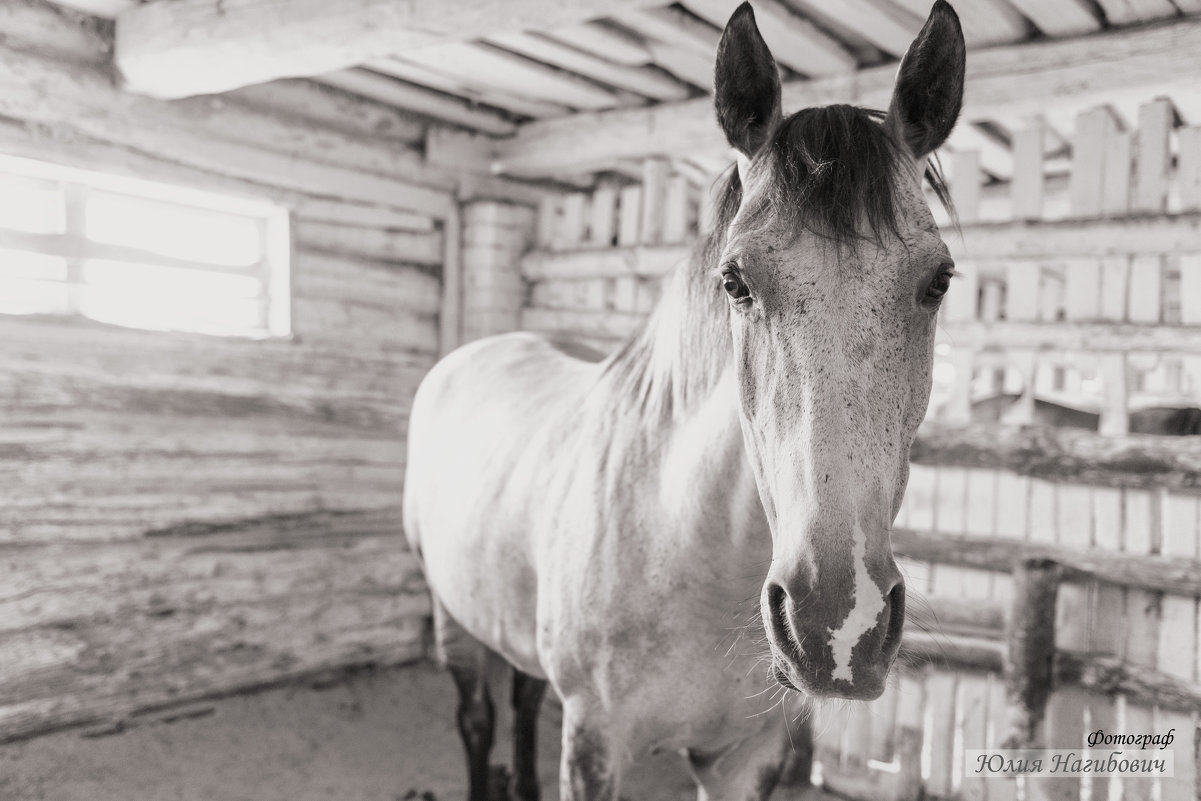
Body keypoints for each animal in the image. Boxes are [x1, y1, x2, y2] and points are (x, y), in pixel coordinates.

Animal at [403, 3, 965, 797]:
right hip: (452, 616)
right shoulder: (595, 742)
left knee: (521, 701)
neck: (681, 540)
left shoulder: (744, 758)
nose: (837, 626)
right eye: (734, 281)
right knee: (478, 720)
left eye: (938, 280)